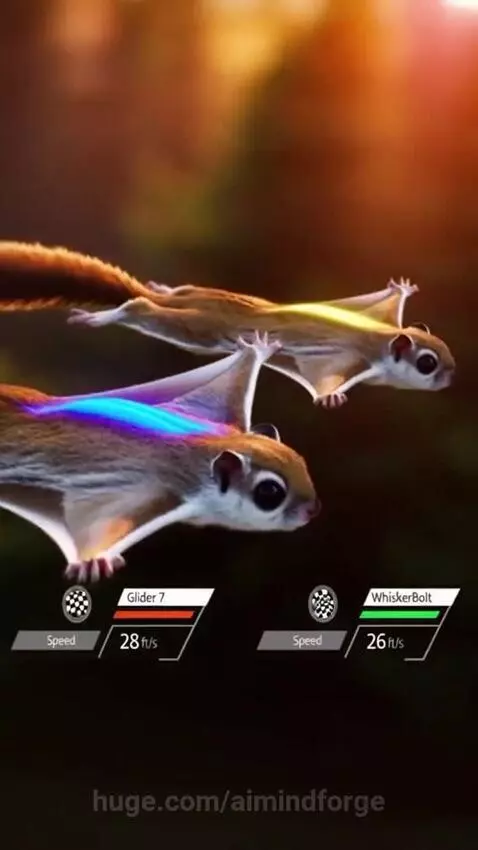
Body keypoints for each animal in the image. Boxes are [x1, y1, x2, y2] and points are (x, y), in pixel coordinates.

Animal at [0, 241, 455, 407]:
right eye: (428, 363)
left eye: (444, 353)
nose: (450, 378)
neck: (382, 340)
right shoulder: (345, 357)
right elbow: (329, 378)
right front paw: (331, 397)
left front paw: (402, 289)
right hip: (194, 330)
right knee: (142, 310)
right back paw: (107, 314)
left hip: (195, 299)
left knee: (171, 294)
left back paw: (163, 286)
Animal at [0, 332, 318, 583]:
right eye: (270, 492)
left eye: (302, 464)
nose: (313, 510)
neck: (208, 450)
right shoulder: (146, 492)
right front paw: (92, 558)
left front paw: (257, 350)